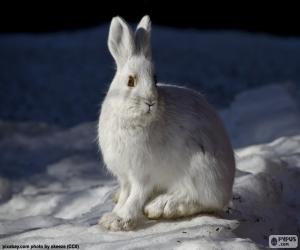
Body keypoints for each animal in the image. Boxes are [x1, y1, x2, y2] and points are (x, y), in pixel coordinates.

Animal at [97, 15, 236, 230]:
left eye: (155, 79)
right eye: (130, 81)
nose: (150, 101)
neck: (135, 120)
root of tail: (227, 184)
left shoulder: (143, 175)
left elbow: (135, 197)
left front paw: (120, 220)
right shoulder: (125, 176)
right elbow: (126, 194)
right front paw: (112, 215)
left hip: (199, 170)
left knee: (201, 199)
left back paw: (162, 206)